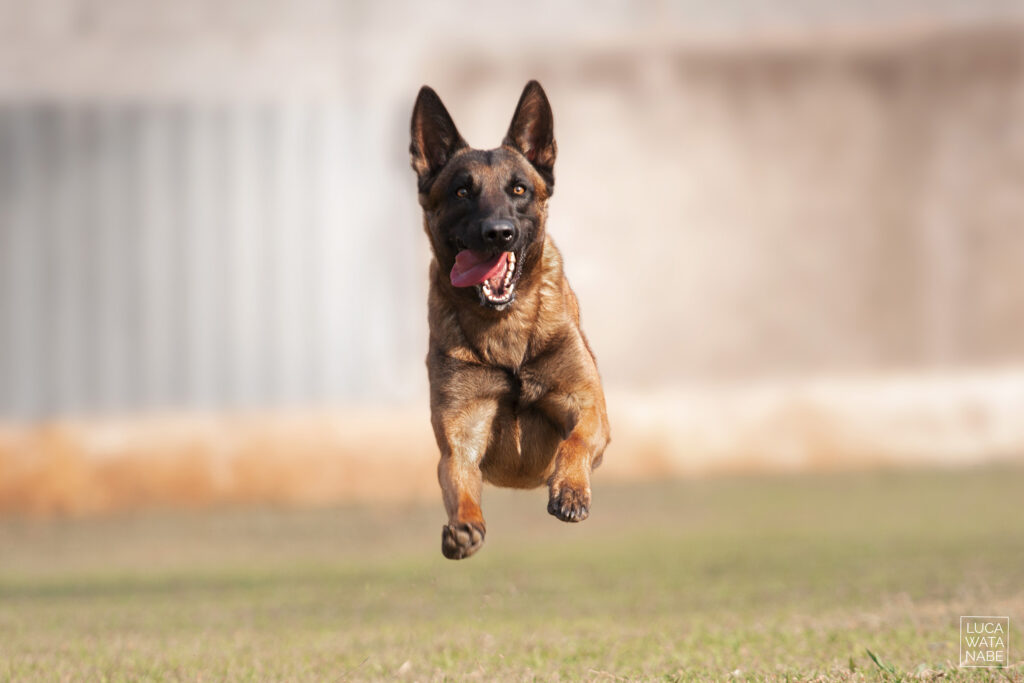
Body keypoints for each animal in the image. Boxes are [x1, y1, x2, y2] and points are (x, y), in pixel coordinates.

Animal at [407, 81, 606, 561]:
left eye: (518, 189)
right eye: (462, 192)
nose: (498, 233)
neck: (506, 327)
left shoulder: (589, 405)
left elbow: (576, 440)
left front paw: (570, 490)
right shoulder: (460, 436)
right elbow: (459, 480)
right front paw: (464, 525)